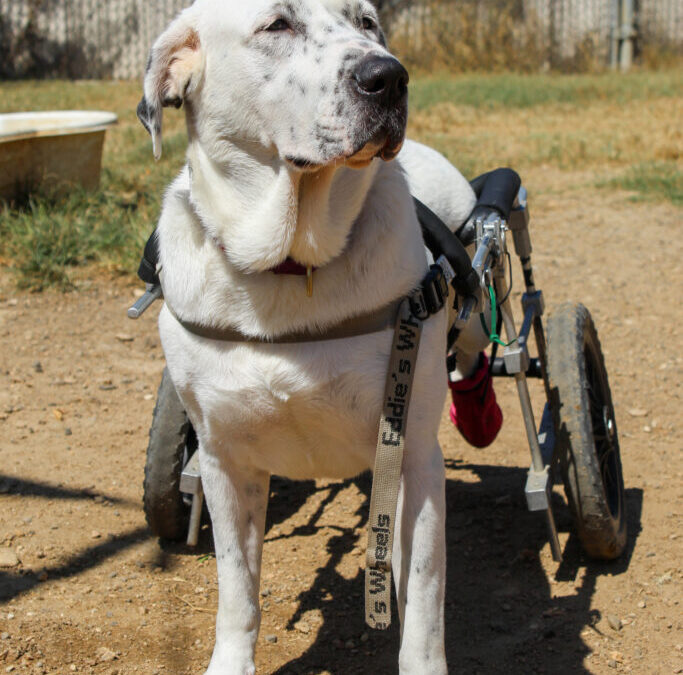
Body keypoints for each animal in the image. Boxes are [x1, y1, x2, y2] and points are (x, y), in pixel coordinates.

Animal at [136, 2, 484, 672]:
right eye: (276, 25)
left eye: (367, 21)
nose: (390, 77)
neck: (292, 268)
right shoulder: (225, 461)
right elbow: (236, 588)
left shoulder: (413, 457)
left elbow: (424, 604)